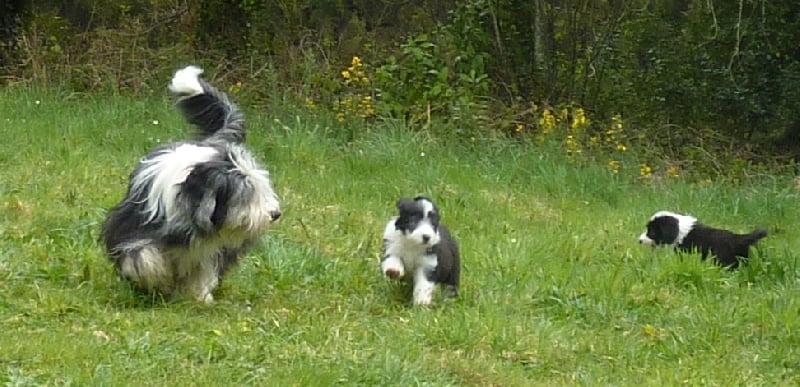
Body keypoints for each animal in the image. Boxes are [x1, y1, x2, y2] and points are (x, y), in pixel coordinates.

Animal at [101, 66, 282, 304]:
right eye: (245, 195)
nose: (275, 214)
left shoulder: (211, 248)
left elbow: (203, 268)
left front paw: (199, 296)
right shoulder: (130, 227)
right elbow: (142, 255)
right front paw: (156, 279)